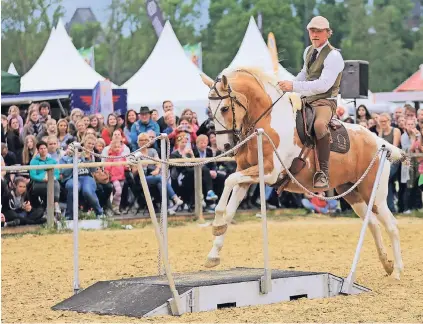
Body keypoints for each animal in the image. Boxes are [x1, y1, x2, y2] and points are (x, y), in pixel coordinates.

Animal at [200, 67, 406, 280]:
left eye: (224, 108)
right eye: (210, 109)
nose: (225, 146)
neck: (268, 121)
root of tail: (381, 143)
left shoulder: (269, 172)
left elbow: (228, 181)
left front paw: (216, 222)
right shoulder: (246, 176)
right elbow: (230, 206)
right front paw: (214, 251)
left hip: (375, 196)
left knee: (391, 225)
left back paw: (398, 271)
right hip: (351, 193)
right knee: (372, 223)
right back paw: (387, 264)